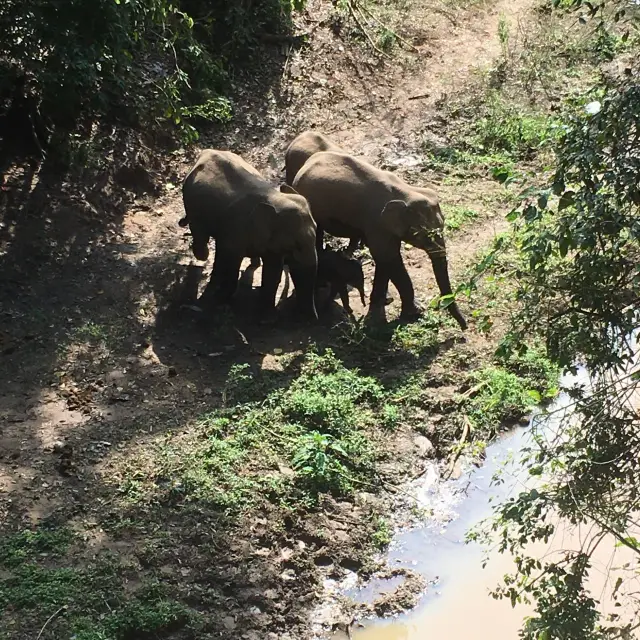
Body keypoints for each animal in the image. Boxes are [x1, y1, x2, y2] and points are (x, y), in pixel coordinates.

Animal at [180, 149, 320, 320]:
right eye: (296, 245)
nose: (314, 320)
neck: (275, 198)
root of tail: (206, 152)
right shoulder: (236, 230)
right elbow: (231, 261)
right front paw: (220, 299)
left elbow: (273, 272)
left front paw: (266, 318)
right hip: (190, 200)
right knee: (200, 234)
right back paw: (202, 257)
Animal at [292, 151, 468, 330]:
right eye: (423, 235)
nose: (464, 327)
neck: (406, 191)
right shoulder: (377, 223)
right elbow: (388, 258)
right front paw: (415, 313)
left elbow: (385, 260)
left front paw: (383, 301)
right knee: (317, 233)